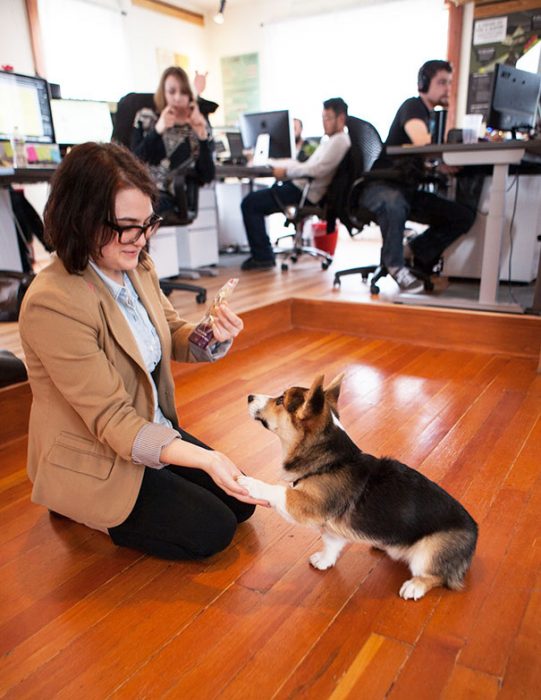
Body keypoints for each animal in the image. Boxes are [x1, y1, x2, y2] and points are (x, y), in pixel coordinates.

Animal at [237, 374, 476, 600]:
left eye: (280, 400)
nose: (248, 396)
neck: (329, 461)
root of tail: (475, 533)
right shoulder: (331, 527)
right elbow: (331, 544)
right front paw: (324, 561)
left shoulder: (306, 505)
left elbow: (277, 490)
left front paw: (249, 482)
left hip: (428, 553)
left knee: (435, 577)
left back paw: (414, 586)